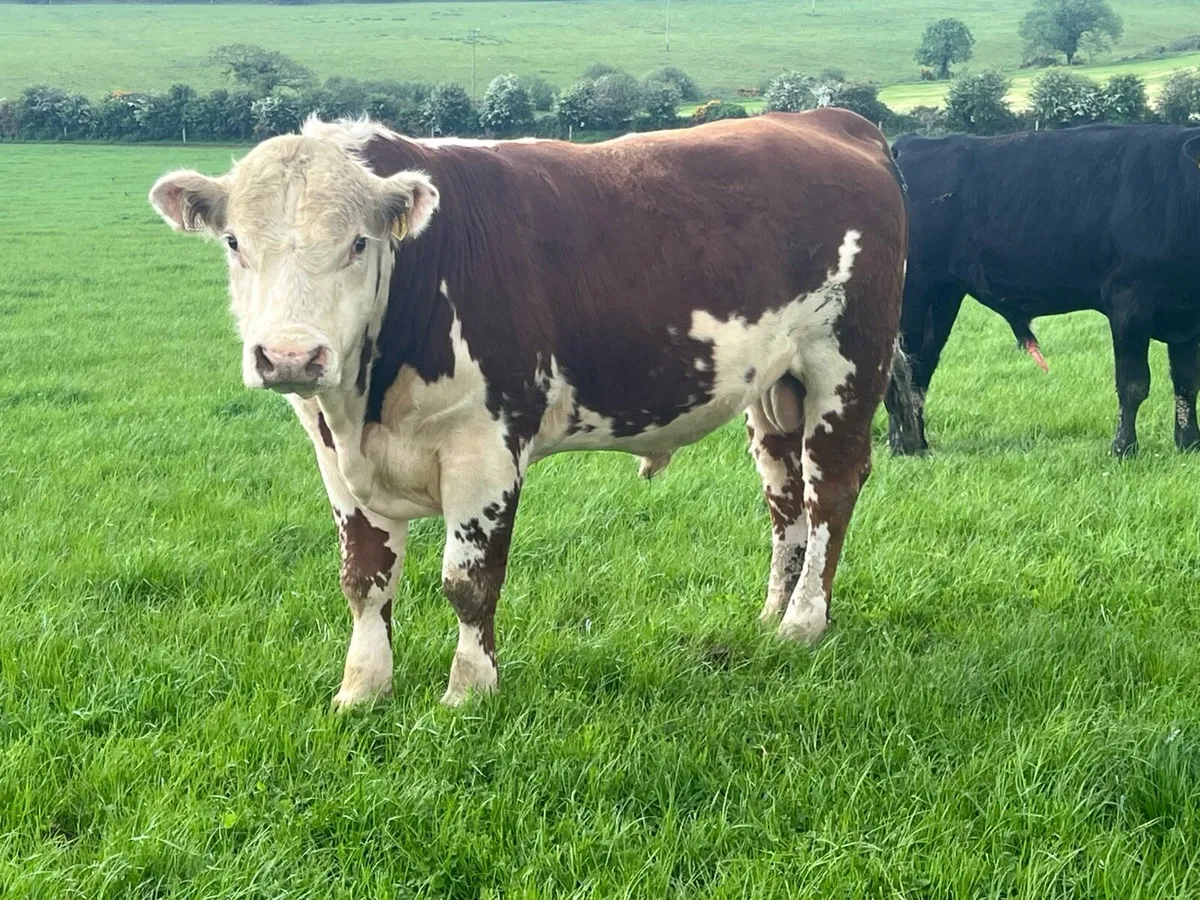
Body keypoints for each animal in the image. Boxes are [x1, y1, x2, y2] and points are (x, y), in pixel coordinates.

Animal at [148, 109, 909, 708]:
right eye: (235, 243)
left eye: (359, 242)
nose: (290, 356)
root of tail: (828, 119)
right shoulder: (338, 461)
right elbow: (364, 582)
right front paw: (361, 692)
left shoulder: (485, 448)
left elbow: (468, 582)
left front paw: (468, 691)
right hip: (774, 389)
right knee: (786, 498)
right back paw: (773, 613)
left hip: (844, 364)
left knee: (830, 488)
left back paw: (805, 622)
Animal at [888, 124, 1200, 458]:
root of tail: (909, 145)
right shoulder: (1128, 303)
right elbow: (1133, 384)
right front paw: (1123, 448)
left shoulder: (1187, 319)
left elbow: (1186, 383)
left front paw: (1189, 443)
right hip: (914, 291)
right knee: (903, 369)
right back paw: (902, 446)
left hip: (943, 295)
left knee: (922, 365)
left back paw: (917, 444)